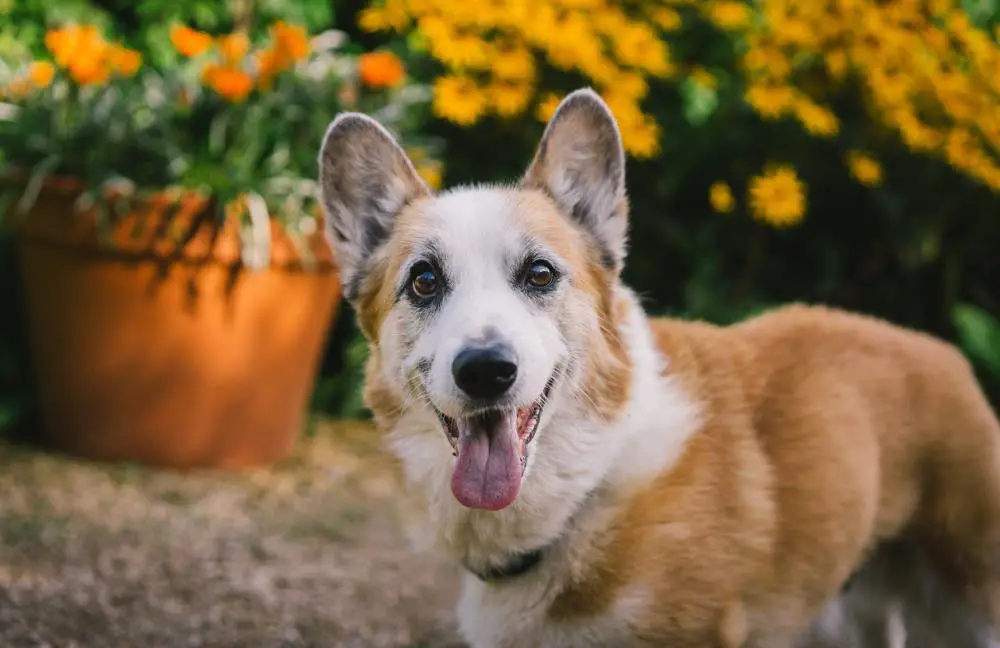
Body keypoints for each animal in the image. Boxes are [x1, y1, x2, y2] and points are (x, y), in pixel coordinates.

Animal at [316, 87, 1000, 648]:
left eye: (539, 273)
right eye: (424, 281)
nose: (486, 370)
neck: (587, 488)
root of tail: (944, 352)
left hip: (970, 604)